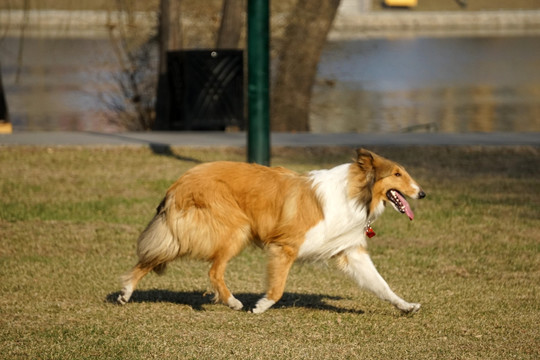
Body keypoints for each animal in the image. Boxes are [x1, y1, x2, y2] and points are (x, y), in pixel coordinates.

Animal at [118, 148, 426, 314]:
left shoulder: (350, 252)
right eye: (397, 174)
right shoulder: (285, 246)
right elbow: (277, 289)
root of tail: (178, 184)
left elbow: (381, 284)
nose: (422, 194)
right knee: (213, 271)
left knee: (153, 257)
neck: (355, 194)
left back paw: (125, 292)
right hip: (235, 230)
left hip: (188, 235)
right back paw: (233, 302)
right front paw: (261, 306)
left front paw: (406, 306)